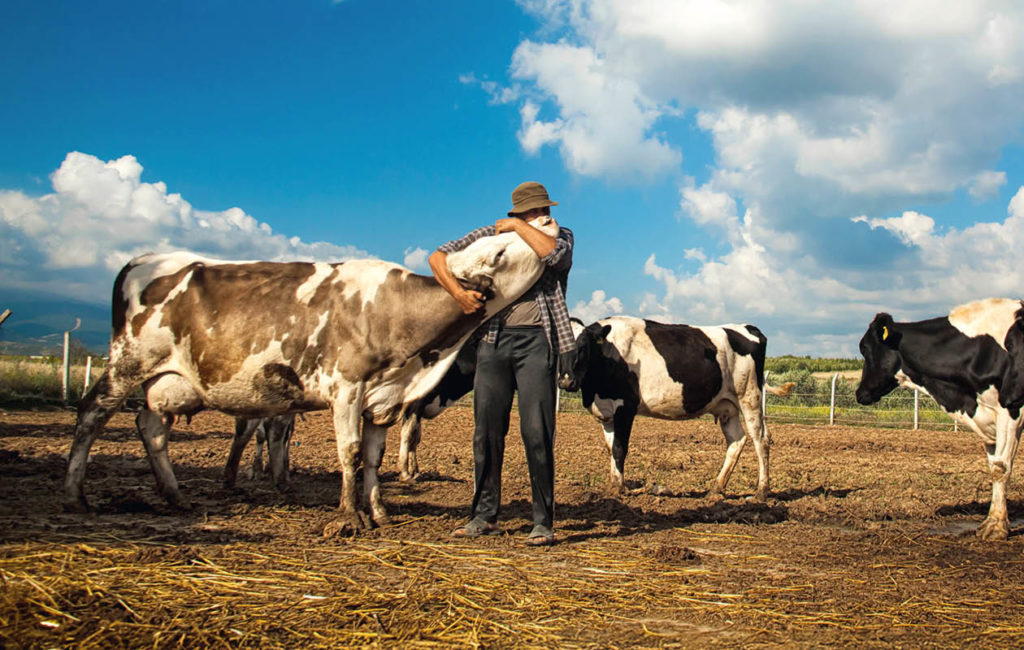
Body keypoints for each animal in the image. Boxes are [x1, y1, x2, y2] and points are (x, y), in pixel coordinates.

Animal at [64, 216, 560, 535]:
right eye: (500, 250)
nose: (551, 224)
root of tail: (143, 260)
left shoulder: (384, 398)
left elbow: (373, 458)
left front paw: (379, 512)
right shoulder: (347, 387)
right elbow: (350, 452)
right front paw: (348, 517)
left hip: (165, 379)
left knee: (150, 426)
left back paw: (175, 496)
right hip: (128, 362)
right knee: (91, 414)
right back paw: (76, 495)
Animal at [557, 316, 793, 501]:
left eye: (583, 347)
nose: (567, 381)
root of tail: (748, 327)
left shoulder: (625, 407)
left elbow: (619, 448)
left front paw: (617, 489)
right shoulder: (607, 413)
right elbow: (610, 447)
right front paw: (612, 485)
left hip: (750, 396)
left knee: (761, 439)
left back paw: (761, 491)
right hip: (727, 406)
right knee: (736, 440)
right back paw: (716, 488)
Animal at [855, 297, 1024, 541]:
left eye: (865, 349)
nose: (860, 393)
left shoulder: (1011, 409)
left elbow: (1001, 468)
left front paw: (996, 527)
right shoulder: (987, 416)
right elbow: (994, 466)